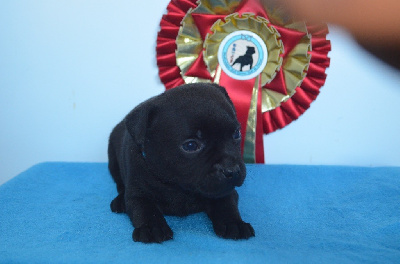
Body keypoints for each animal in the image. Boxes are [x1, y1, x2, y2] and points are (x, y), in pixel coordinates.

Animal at [108, 83, 255, 243]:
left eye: (236, 134)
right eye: (190, 145)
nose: (232, 170)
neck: (178, 187)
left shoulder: (224, 189)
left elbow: (226, 204)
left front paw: (234, 223)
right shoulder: (138, 193)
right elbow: (145, 209)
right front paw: (152, 228)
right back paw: (119, 201)